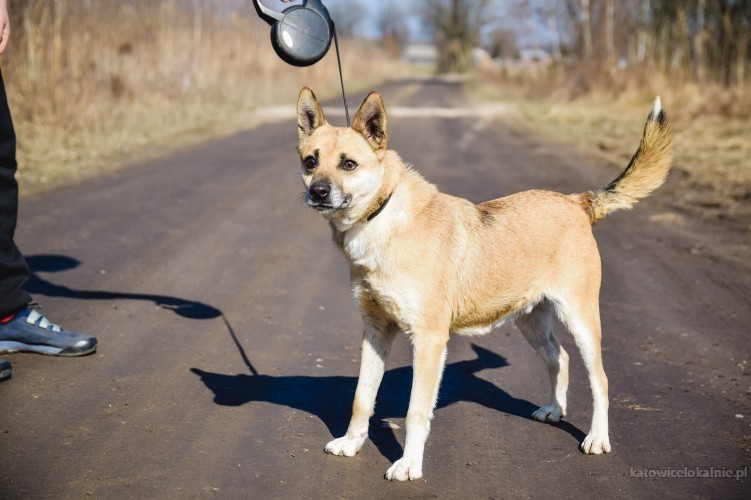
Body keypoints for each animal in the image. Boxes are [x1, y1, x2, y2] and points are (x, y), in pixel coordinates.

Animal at [296, 88, 676, 482]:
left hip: (580, 320)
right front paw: (352, 443)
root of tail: (576, 202)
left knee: (599, 379)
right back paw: (554, 410)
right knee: (560, 358)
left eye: (348, 164)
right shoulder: (375, 333)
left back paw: (597, 438)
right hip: (531, 322)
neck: (382, 220)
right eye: (311, 161)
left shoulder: (429, 341)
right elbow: (362, 398)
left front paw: (409, 464)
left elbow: (416, 411)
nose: (318, 192)